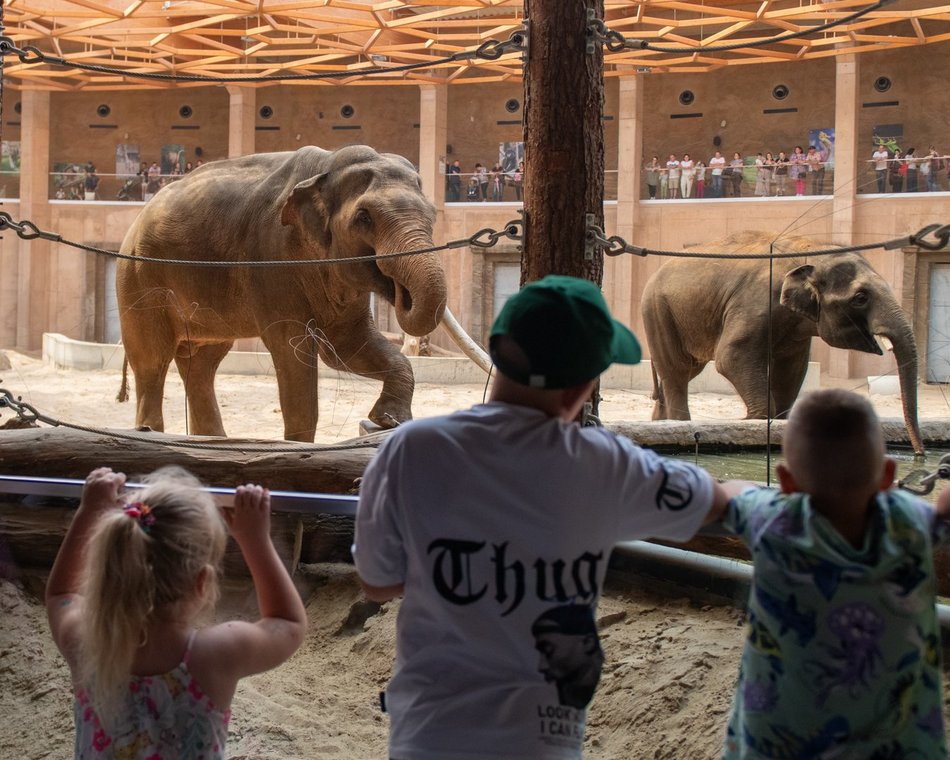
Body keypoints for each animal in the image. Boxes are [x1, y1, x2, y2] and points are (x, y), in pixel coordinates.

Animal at [117, 145, 462, 442]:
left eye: (433, 215)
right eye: (364, 217)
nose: (401, 291)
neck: (327, 166)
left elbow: (348, 346)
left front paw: (388, 419)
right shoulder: (271, 258)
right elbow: (293, 351)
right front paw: (300, 445)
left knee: (202, 364)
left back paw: (213, 440)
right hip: (139, 279)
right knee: (152, 361)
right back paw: (151, 432)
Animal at [640, 232, 924, 454]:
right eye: (861, 298)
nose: (919, 453)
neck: (811, 252)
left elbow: (791, 371)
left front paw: (780, 423)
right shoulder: (757, 300)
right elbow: (731, 357)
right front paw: (756, 420)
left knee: (686, 370)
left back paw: (660, 422)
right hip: (658, 310)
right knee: (677, 371)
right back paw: (679, 423)